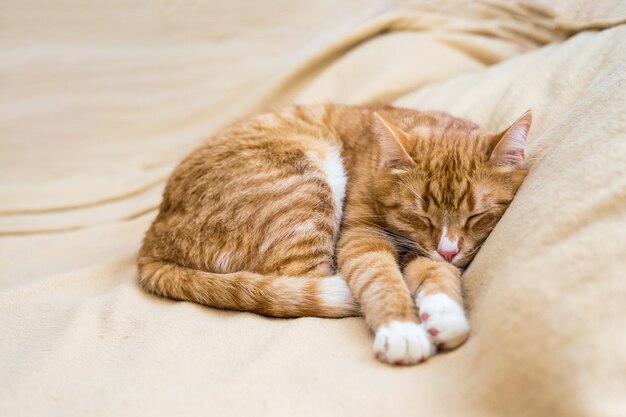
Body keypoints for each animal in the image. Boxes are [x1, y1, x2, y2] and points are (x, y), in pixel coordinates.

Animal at [136, 104, 528, 364]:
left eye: (476, 216)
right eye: (419, 216)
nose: (448, 250)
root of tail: (154, 239)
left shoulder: (432, 252)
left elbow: (437, 273)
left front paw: (444, 314)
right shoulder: (361, 237)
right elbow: (380, 277)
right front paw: (402, 329)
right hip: (306, 179)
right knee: (307, 280)